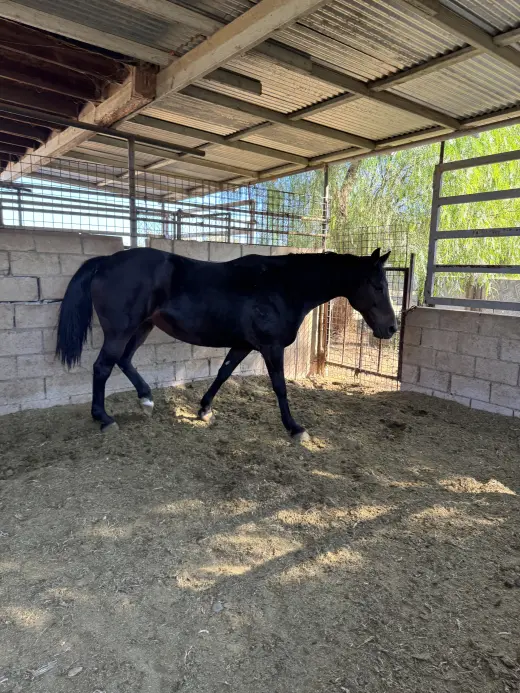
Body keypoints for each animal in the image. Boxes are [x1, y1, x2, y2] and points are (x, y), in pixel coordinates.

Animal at [56, 246, 397, 441]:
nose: (391, 328)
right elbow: (280, 387)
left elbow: (223, 373)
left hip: (143, 327)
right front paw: (294, 428)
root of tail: (105, 262)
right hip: (121, 330)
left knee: (124, 360)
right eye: (378, 285)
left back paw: (146, 399)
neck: (284, 285)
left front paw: (204, 409)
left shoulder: (243, 345)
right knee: (103, 367)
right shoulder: (271, 347)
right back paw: (104, 419)